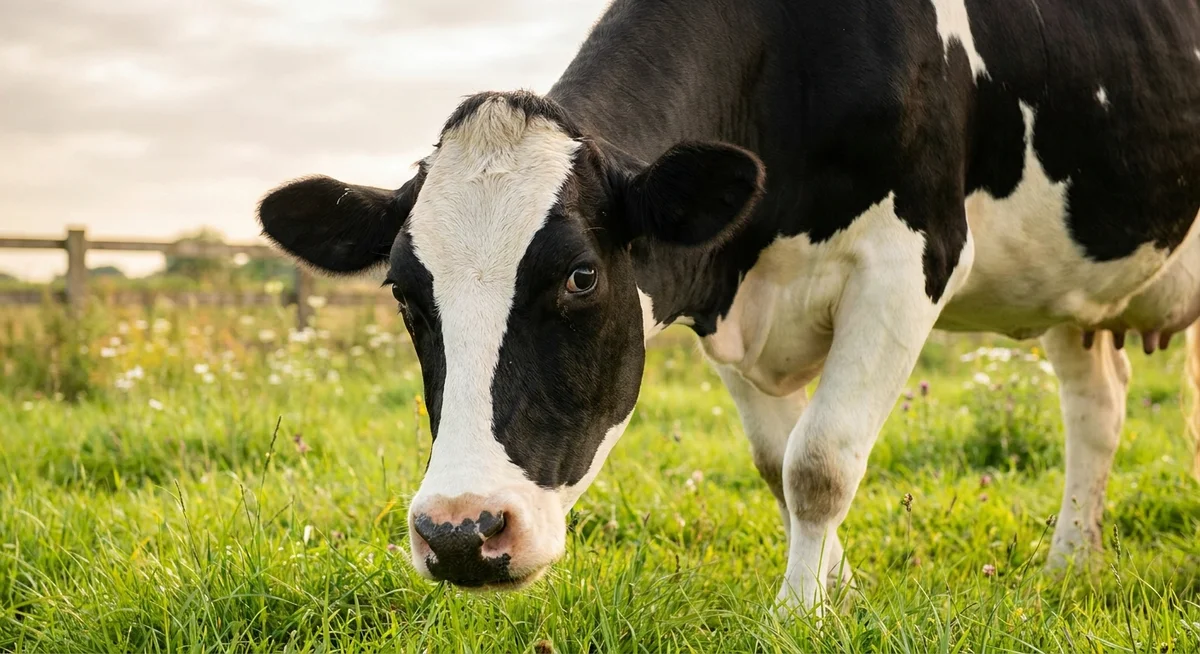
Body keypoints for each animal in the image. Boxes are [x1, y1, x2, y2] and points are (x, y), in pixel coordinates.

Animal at [257, 0, 1200, 614]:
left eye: (581, 277)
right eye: (403, 291)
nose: (460, 533)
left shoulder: (912, 256)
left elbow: (819, 462)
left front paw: (799, 614)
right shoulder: (727, 297)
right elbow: (775, 464)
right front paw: (836, 591)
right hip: (1079, 287)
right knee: (1098, 409)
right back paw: (1071, 567)